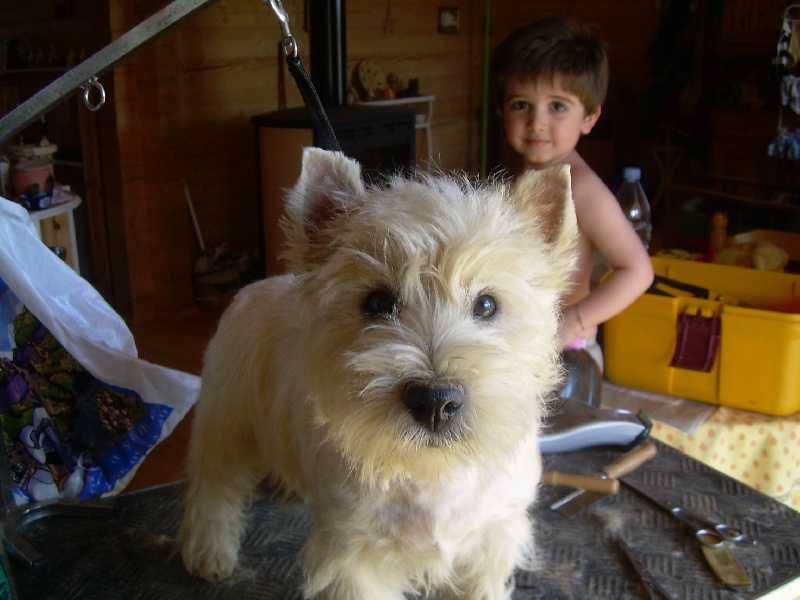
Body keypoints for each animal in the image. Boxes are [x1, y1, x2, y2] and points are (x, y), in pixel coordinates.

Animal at [178, 146, 580, 600]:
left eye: (487, 305)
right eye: (376, 302)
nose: (434, 401)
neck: (433, 475)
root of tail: (253, 286)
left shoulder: (491, 539)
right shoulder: (356, 554)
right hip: (226, 420)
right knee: (214, 487)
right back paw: (209, 554)